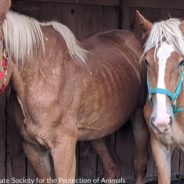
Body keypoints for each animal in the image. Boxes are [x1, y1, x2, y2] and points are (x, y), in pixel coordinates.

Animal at [0, 0, 148, 183]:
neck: (40, 78)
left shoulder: (64, 146)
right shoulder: (32, 148)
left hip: (139, 118)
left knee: (140, 164)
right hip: (97, 130)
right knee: (112, 166)